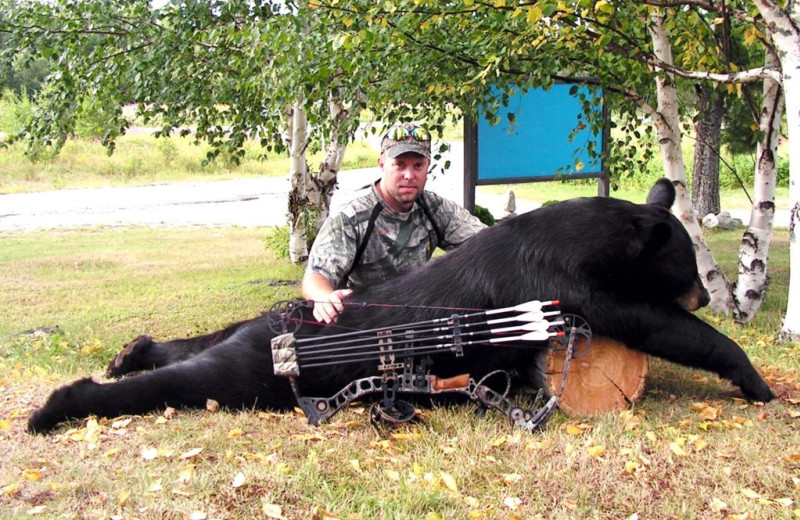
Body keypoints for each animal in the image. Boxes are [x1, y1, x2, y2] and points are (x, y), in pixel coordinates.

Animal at [28, 181, 772, 432]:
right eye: (688, 267)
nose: (707, 289)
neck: (584, 239)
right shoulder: (570, 284)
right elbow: (658, 325)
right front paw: (758, 381)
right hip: (261, 370)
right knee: (197, 380)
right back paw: (53, 407)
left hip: (248, 331)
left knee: (198, 343)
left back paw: (132, 350)